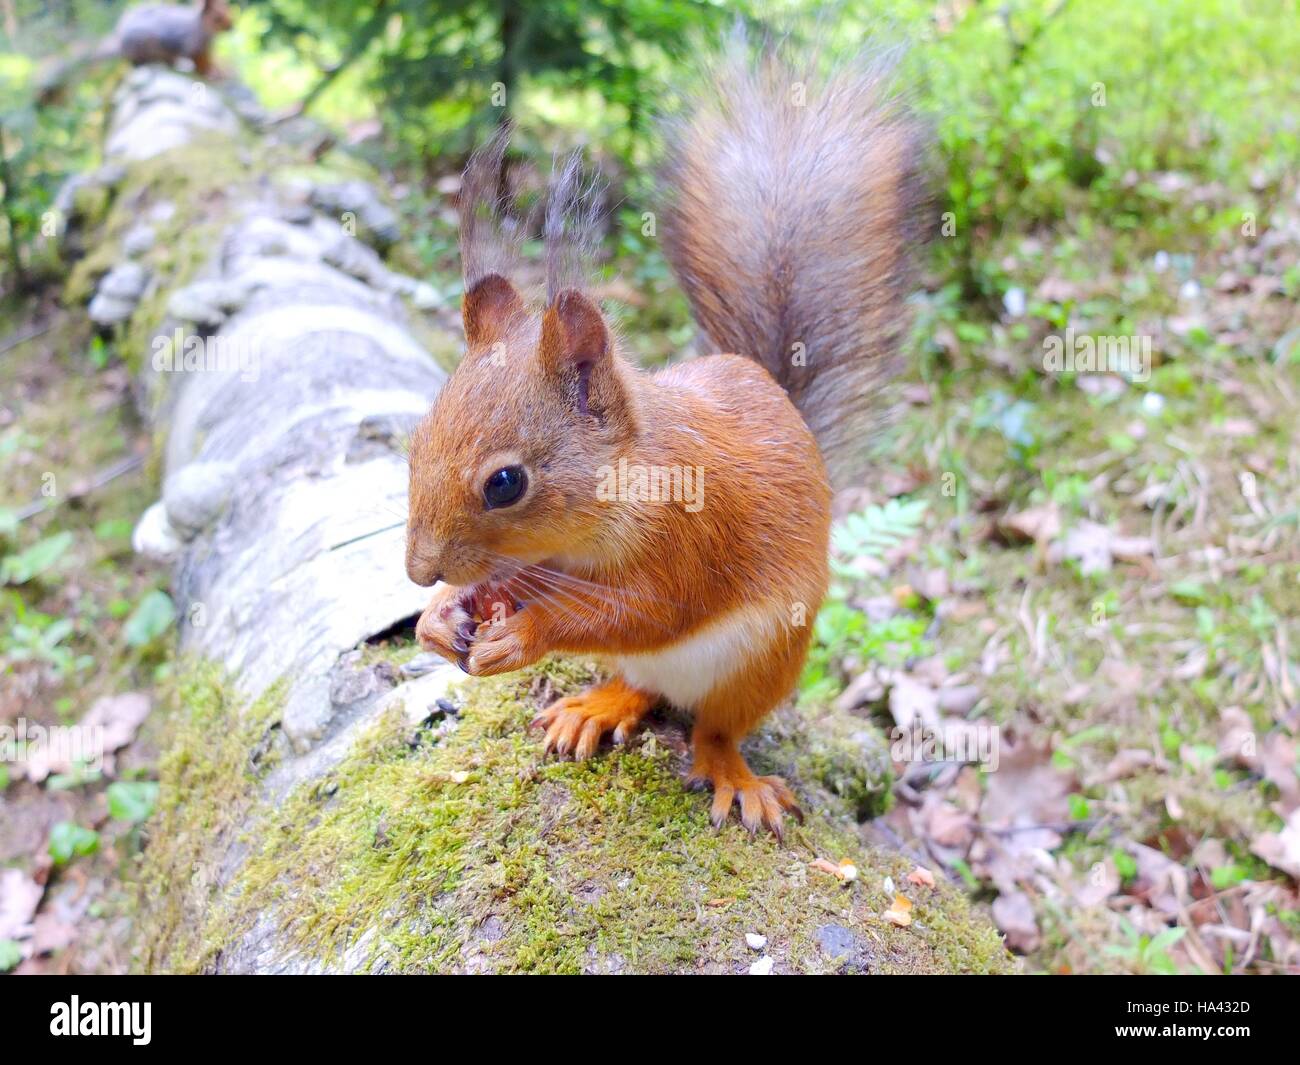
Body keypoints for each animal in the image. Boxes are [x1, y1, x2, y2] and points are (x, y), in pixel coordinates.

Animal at [405, 37, 925, 842]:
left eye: (505, 483)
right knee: (638, 683)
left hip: (761, 662)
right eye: (416, 440)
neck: (622, 484)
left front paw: (522, 633)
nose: (418, 570)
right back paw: (599, 705)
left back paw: (734, 776)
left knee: (713, 726)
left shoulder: (691, 533)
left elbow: (649, 610)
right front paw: (442, 618)